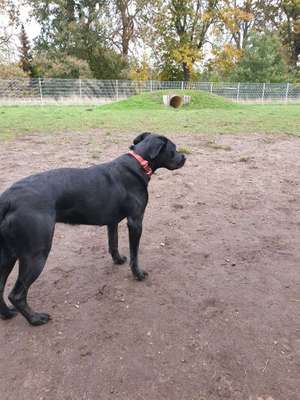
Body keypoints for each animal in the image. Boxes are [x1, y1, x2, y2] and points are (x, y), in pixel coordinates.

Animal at [0, 133, 185, 326]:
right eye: (173, 148)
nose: (184, 157)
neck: (139, 162)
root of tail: (8, 198)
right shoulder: (135, 221)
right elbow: (134, 254)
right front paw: (138, 274)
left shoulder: (112, 222)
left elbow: (113, 243)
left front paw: (118, 260)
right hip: (35, 254)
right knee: (17, 294)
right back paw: (35, 319)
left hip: (8, 253)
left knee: (0, 287)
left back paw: (7, 314)